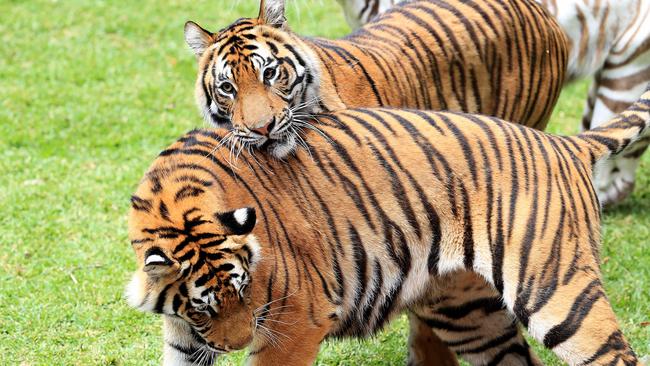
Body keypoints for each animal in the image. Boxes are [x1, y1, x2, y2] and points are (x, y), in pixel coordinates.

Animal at [124, 84, 644, 364]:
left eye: (243, 290)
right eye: (202, 309)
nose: (236, 345)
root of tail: (564, 142)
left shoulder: (295, 320)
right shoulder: (184, 337)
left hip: (555, 291)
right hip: (469, 312)